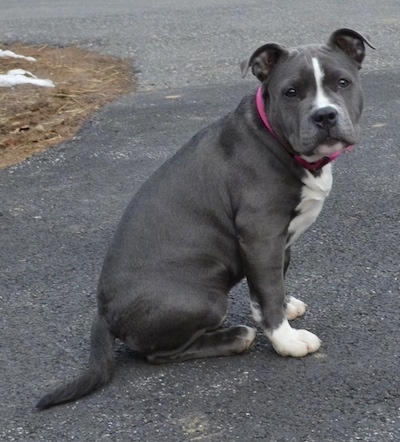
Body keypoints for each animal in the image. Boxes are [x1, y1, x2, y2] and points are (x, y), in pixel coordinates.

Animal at [36, 28, 374, 410]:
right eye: (290, 92)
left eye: (342, 82)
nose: (325, 116)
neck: (275, 138)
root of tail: (104, 313)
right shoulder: (261, 235)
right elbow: (270, 288)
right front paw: (286, 340)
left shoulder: (273, 243)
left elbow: (270, 282)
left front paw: (282, 310)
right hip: (206, 299)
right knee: (157, 354)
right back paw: (235, 337)